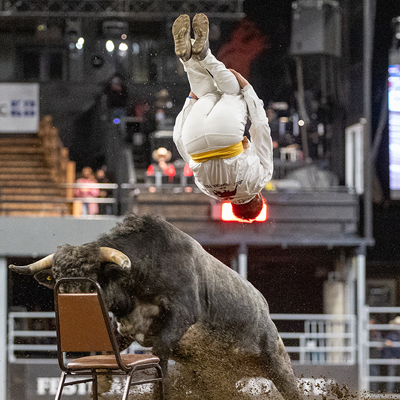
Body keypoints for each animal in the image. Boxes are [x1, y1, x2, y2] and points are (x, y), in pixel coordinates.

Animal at [9, 214, 302, 398]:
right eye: (57, 278)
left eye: (92, 278)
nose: (73, 305)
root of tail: (264, 310)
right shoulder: (125, 329)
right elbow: (107, 348)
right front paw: (101, 381)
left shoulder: (180, 318)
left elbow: (160, 358)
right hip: (216, 376)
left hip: (278, 363)